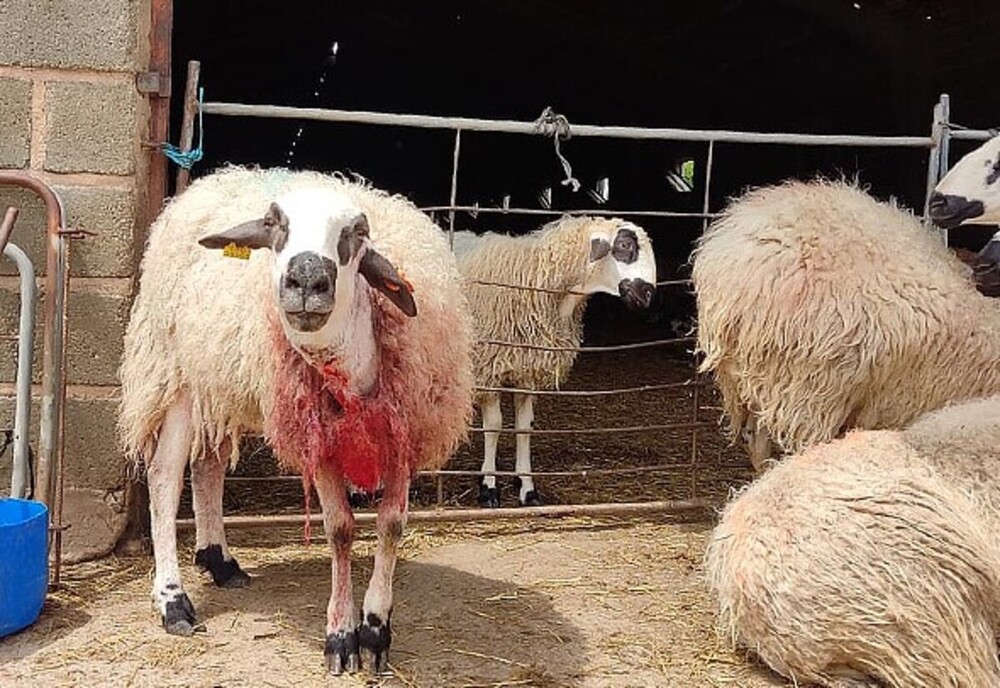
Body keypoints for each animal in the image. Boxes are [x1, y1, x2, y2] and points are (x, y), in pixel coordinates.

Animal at [118, 164, 476, 676]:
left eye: (358, 231)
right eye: (274, 224)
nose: (307, 277)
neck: (353, 371)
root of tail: (214, 180)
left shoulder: (403, 433)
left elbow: (391, 525)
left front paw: (376, 629)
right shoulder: (318, 440)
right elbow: (340, 528)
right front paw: (342, 636)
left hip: (220, 380)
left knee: (207, 466)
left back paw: (219, 561)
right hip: (176, 372)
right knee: (165, 476)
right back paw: (173, 601)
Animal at [452, 218, 656, 508]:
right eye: (625, 245)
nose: (648, 294)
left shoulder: (527, 368)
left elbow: (525, 427)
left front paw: (527, 487)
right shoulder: (488, 367)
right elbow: (494, 426)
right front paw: (488, 487)